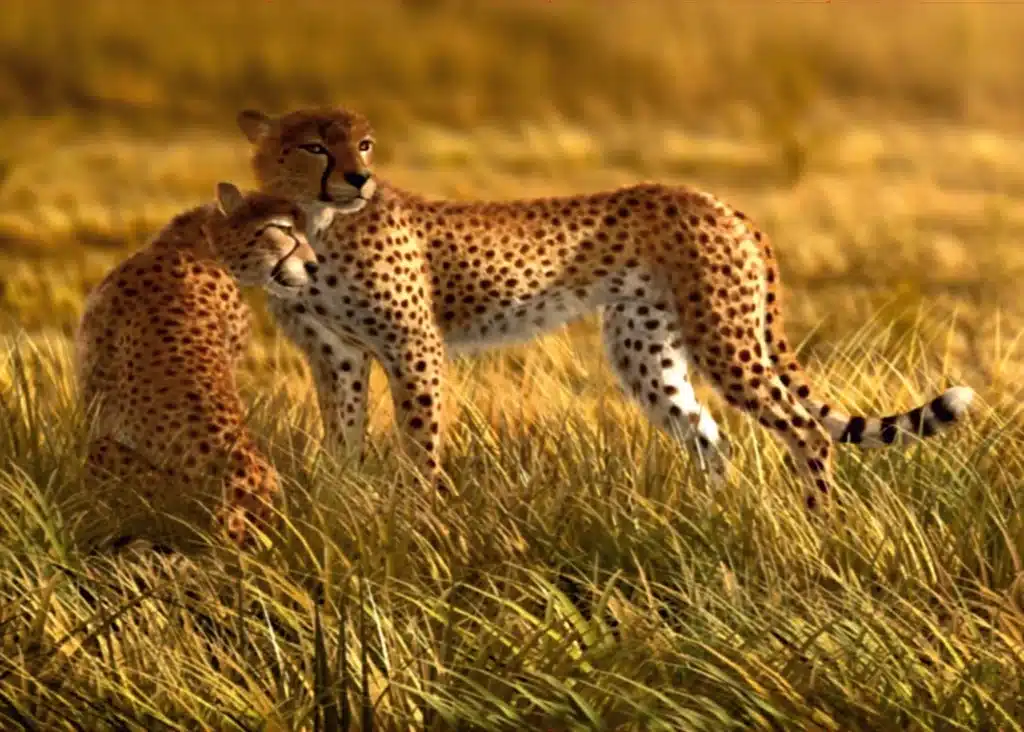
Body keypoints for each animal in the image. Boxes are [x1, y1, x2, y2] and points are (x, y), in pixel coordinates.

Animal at [235, 105, 974, 510]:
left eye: (363, 143)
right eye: (314, 144)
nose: (359, 177)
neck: (319, 222)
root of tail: (715, 198)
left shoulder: (413, 344)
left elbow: (420, 441)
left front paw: (423, 518)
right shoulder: (336, 356)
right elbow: (343, 436)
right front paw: (344, 508)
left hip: (723, 336)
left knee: (805, 430)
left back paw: (814, 526)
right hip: (646, 348)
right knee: (709, 436)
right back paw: (713, 525)